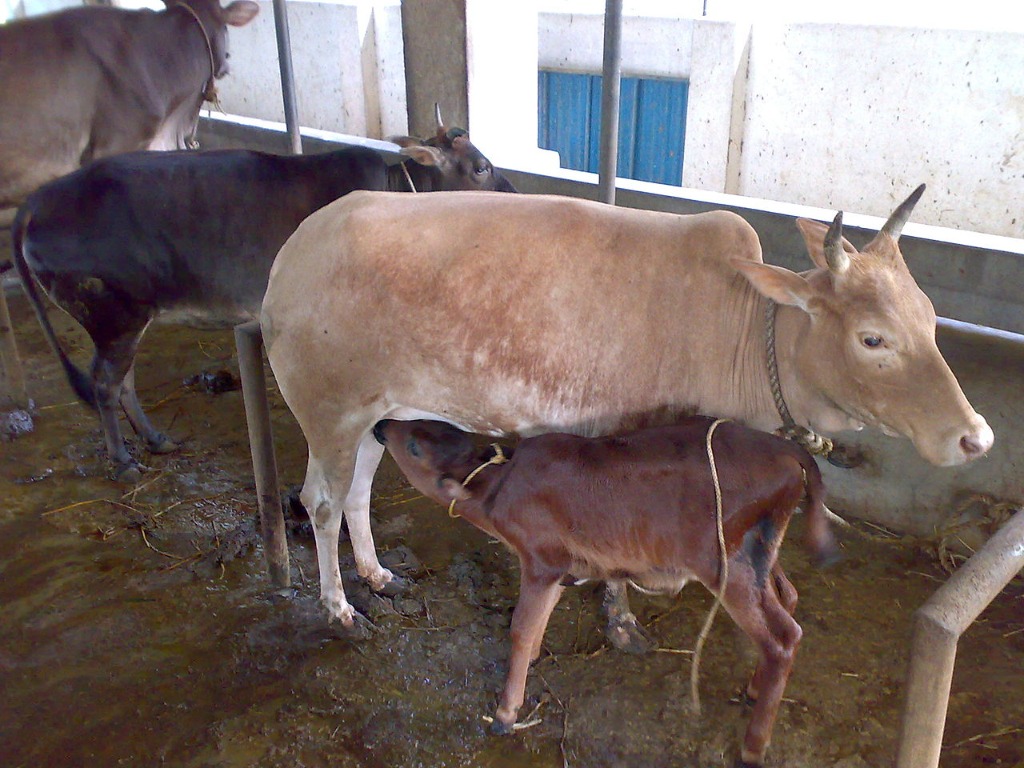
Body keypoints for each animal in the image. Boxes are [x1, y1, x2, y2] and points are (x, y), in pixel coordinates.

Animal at [10, 131, 516, 482]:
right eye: (481, 167)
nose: (513, 192)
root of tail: (37, 201)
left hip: (126, 319)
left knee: (122, 381)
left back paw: (155, 440)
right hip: (112, 315)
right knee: (103, 384)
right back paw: (122, 460)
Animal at [259, 185, 993, 647]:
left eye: (929, 318)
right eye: (873, 338)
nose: (975, 436)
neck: (734, 325)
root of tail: (293, 252)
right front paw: (622, 620)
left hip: (379, 412)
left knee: (357, 492)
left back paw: (376, 574)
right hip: (329, 409)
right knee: (320, 501)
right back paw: (337, 607)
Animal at [372, 416, 838, 768]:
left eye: (413, 446)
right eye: (422, 424)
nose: (381, 425)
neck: (499, 487)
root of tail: (790, 451)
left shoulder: (542, 559)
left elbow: (520, 628)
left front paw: (506, 711)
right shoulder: (561, 567)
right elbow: (538, 621)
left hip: (726, 563)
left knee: (782, 637)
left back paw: (752, 747)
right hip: (761, 555)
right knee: (789, 599)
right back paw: (755, 689)